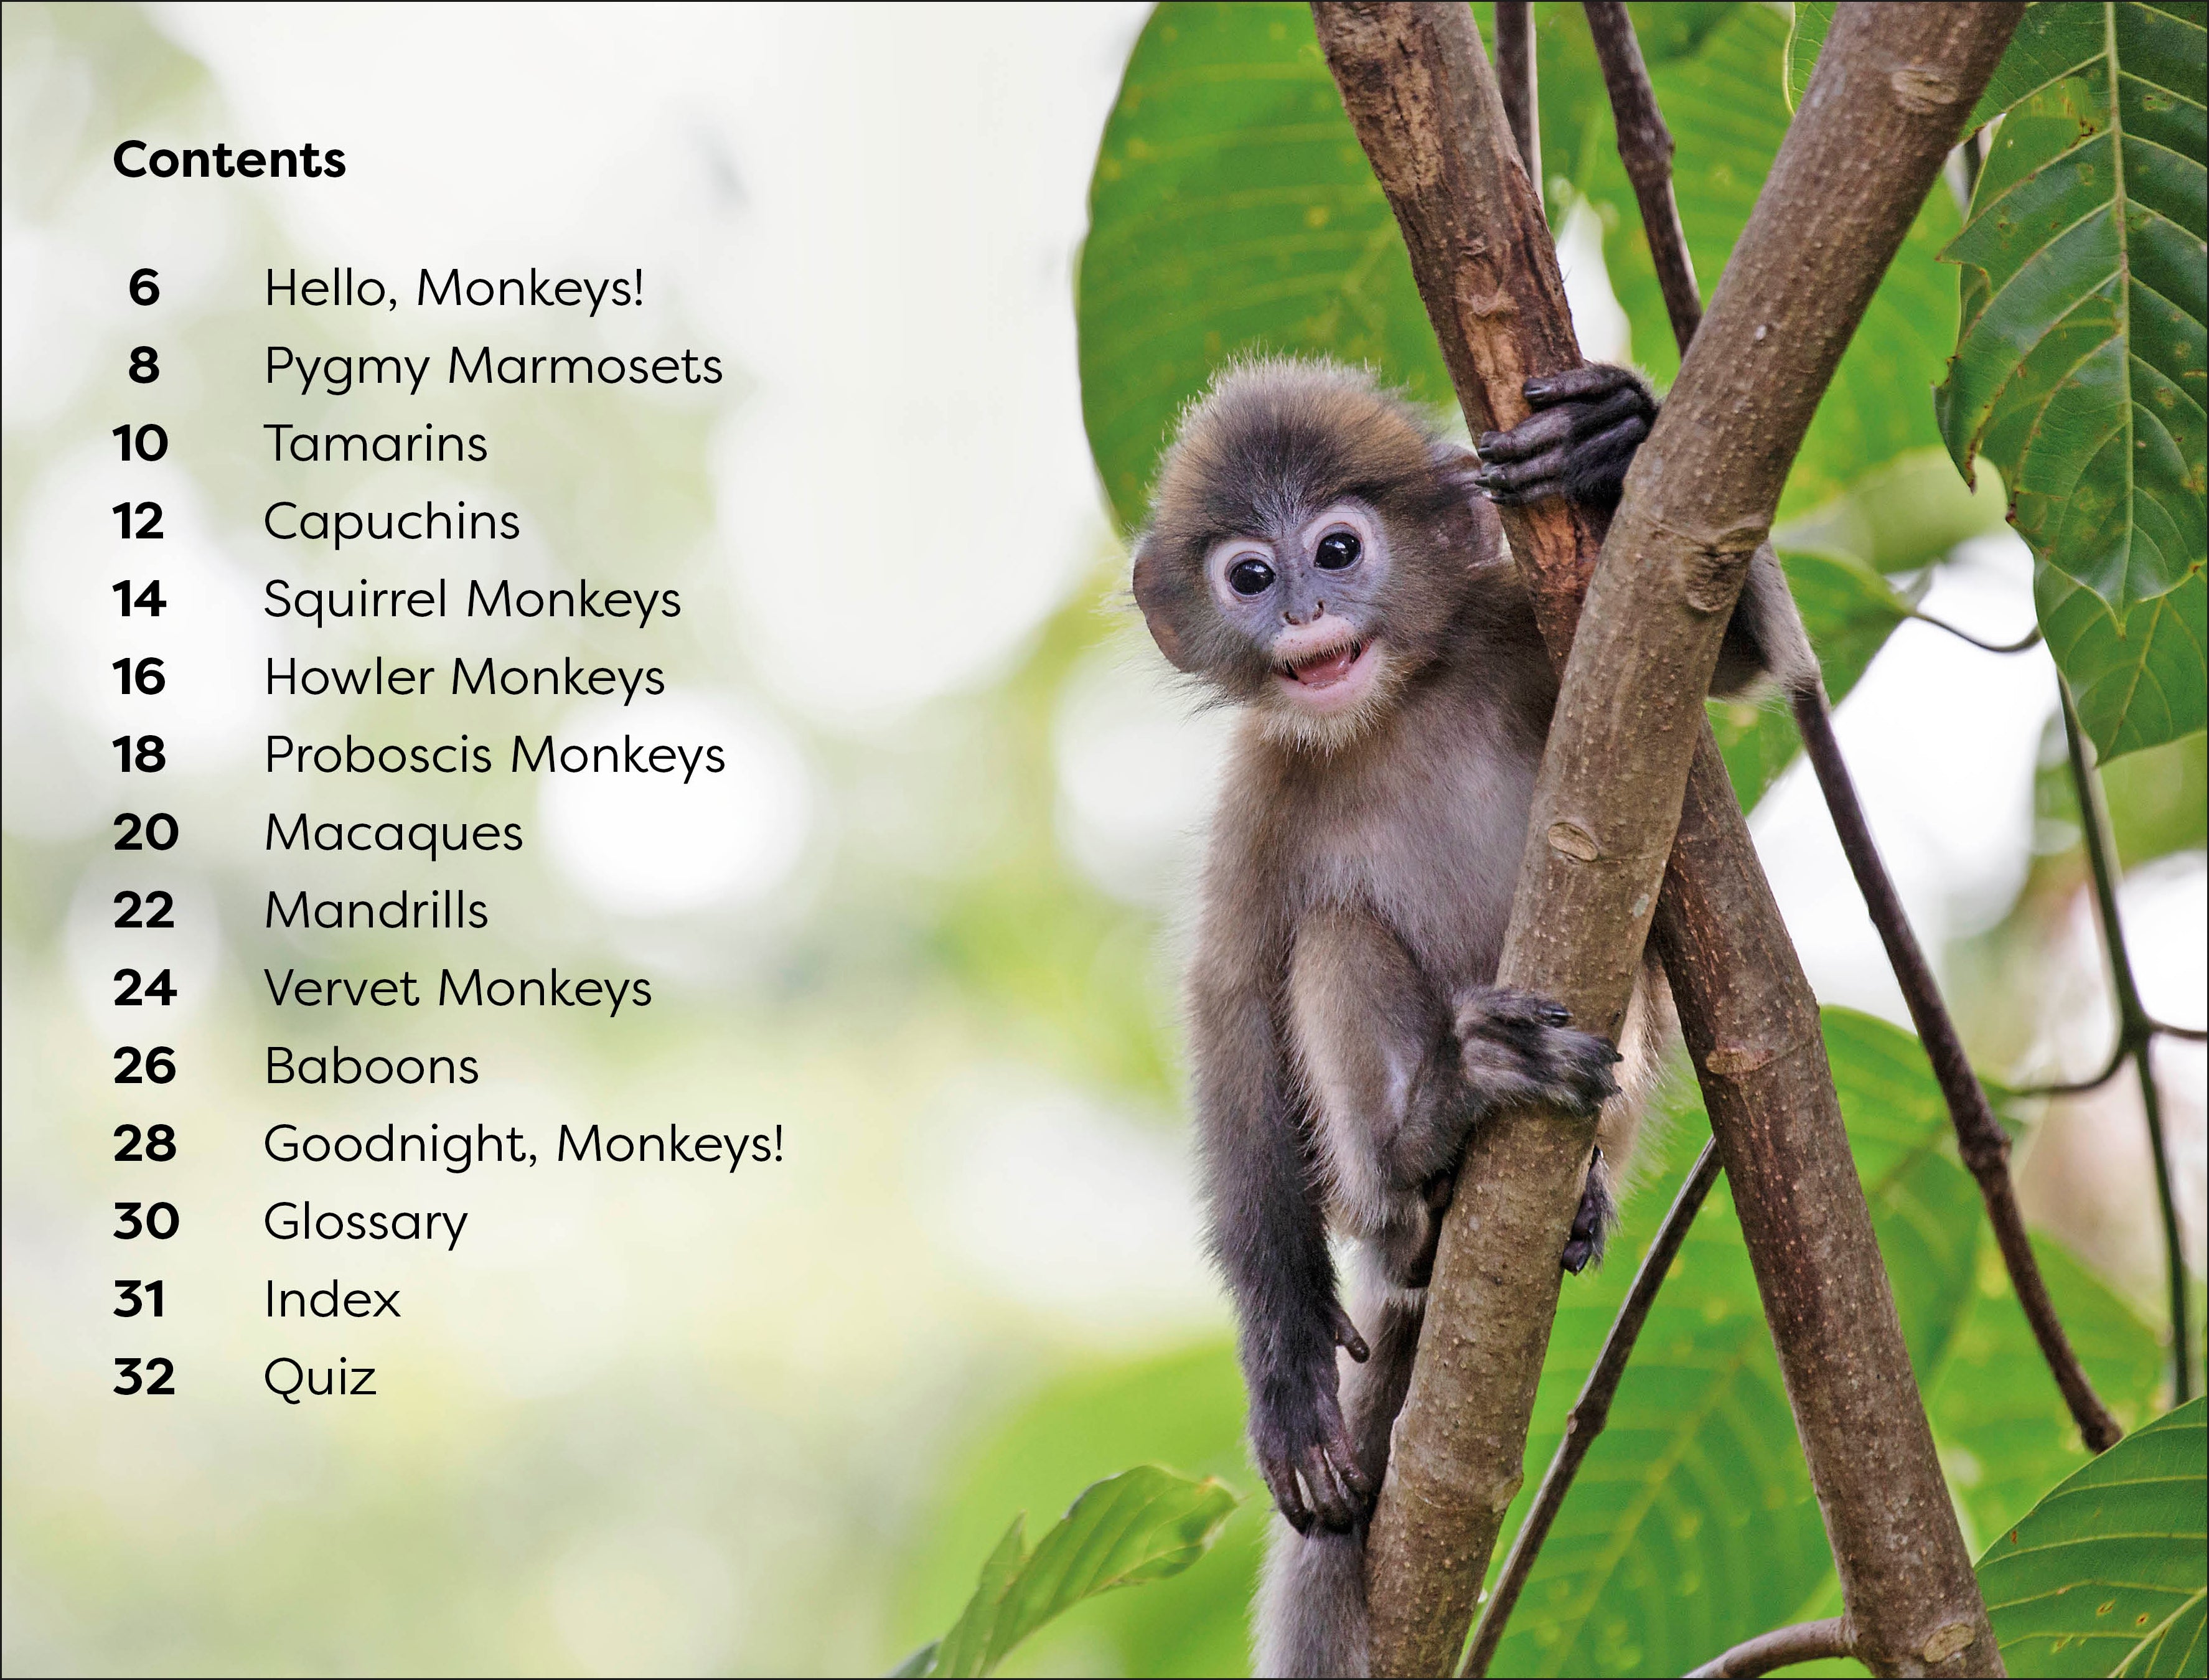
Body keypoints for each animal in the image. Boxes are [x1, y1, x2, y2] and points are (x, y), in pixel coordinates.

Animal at [1128, 356, 1814, 1678]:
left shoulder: (1527, 634)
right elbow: (1231, 1005)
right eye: (1249, 574)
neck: (1390, 706)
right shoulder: (1260, 787)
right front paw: (1285, 1373)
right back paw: (1425, 1148)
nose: (1302, 611)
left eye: (1337, 548)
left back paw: (1566, 1192)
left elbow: (1737, 665)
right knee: (1331, 939)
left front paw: (1613, 435)